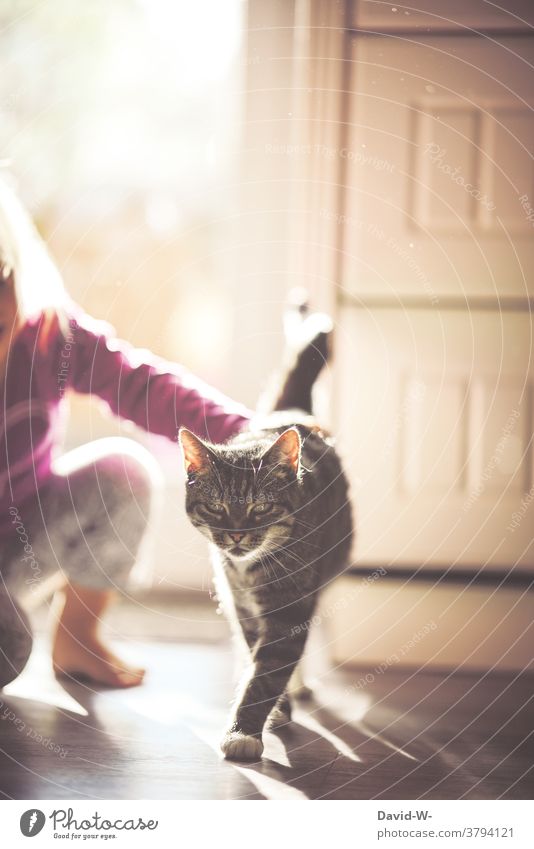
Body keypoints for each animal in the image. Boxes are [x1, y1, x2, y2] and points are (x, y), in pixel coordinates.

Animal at [180, 314, 356, 760]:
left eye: (260, 508)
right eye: (216, 508)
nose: (237, 536)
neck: (249, 570)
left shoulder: (291, 607)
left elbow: (269, 670)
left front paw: (244, 731)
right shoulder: (242, 606)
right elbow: (257, 657)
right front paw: (276, 709)